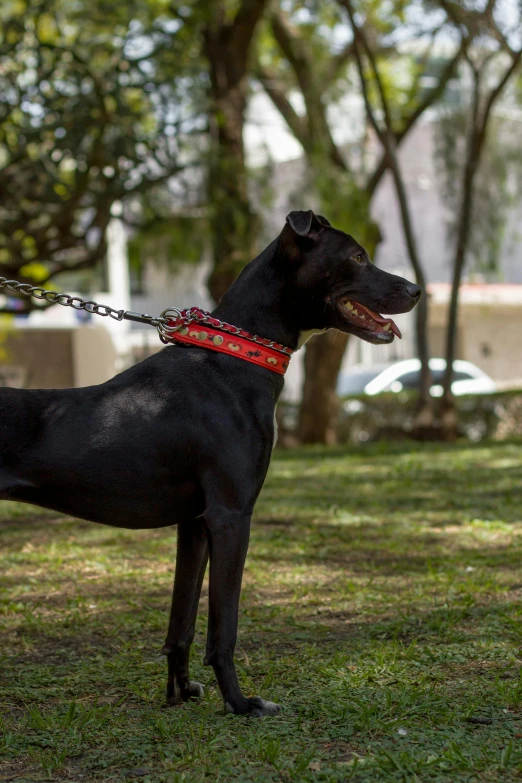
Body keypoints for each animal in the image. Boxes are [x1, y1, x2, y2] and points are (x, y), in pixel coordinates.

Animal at [0, 211, 418, 720]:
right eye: (357, 256)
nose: (417, 290)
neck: (233, 356)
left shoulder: (195, 523)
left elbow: (180, 624)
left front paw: (179, 692)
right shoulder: (231, 516)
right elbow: (224, 628)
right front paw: (239, 703)